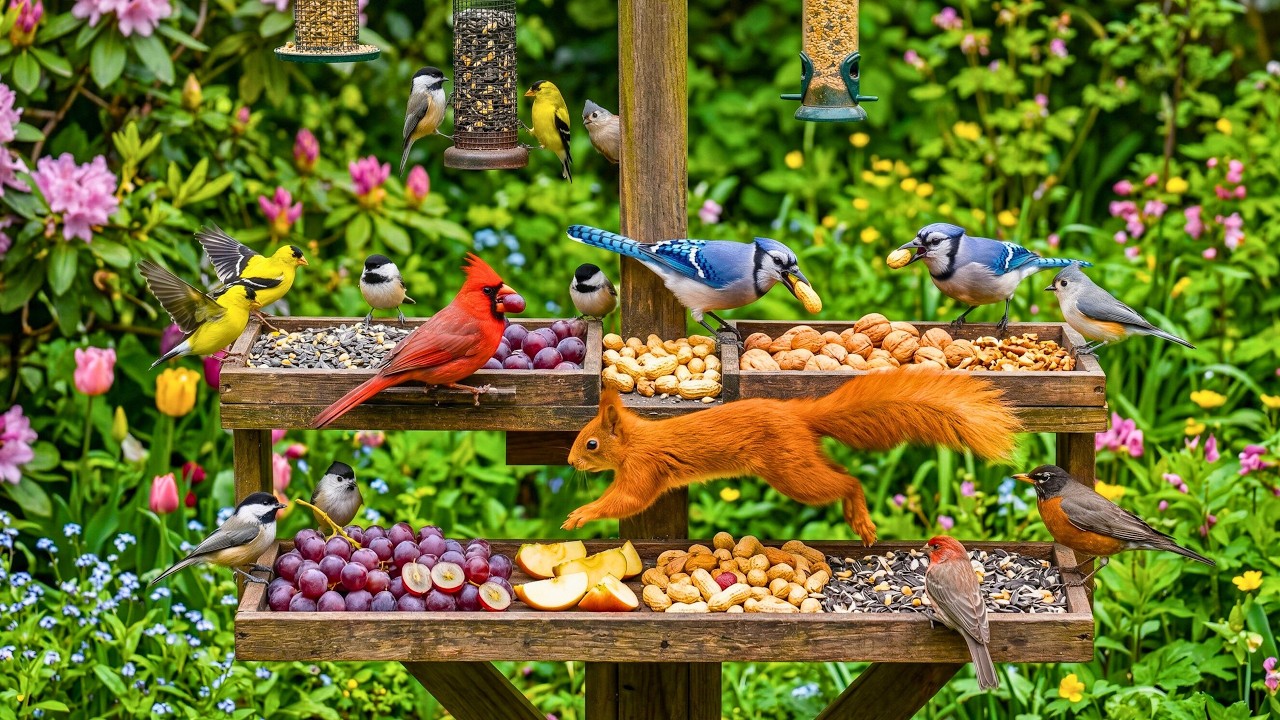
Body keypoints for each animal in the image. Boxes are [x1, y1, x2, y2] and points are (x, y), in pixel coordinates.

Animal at [566, 367, 1020, 545]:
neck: (635, 441)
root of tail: (799, 414)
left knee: (847, 481)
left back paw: (861, 519)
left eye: (591, 444)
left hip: (792, 473)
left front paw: (580, 514)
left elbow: (628, 500)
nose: (570, 463)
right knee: (840, 471)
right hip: (801, 459)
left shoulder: (643, 468)